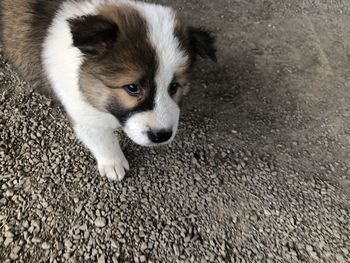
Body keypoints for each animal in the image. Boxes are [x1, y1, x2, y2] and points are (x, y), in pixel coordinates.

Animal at [0, 0, 216, 182]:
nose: (162, 135)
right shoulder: (82, 111)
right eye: (132, 87)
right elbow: (102, 139)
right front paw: (113, 163)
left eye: (174, 86)